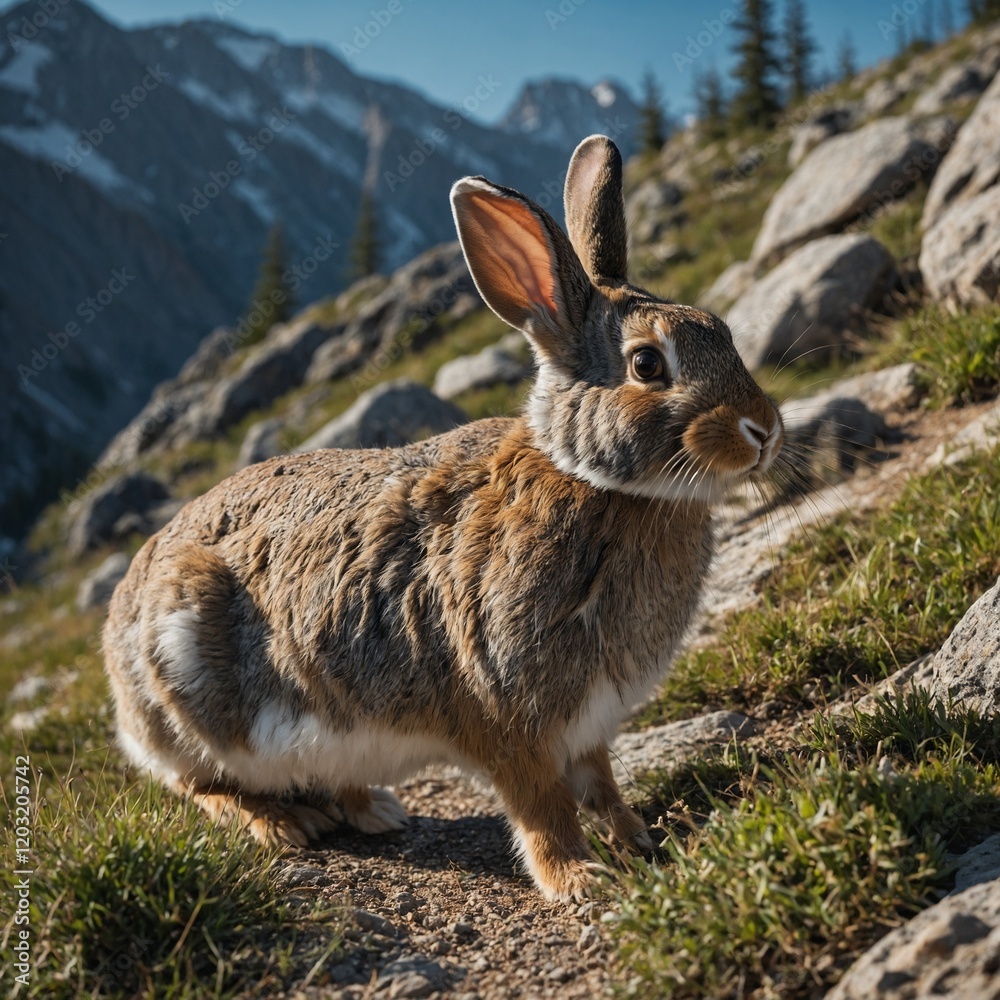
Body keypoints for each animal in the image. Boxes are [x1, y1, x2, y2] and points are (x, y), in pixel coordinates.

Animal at [103, 134, 783, 902]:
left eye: (721, 329)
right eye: (646, 364)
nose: (764, 431)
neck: (591, 481)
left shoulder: (589, 725)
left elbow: (603, 786)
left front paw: (638, 838)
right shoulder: (506, 715)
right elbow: (543, 807)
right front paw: (577, 879)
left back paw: (372, 807)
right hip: (185, 691)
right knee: (200, 784)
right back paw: (283, 823)